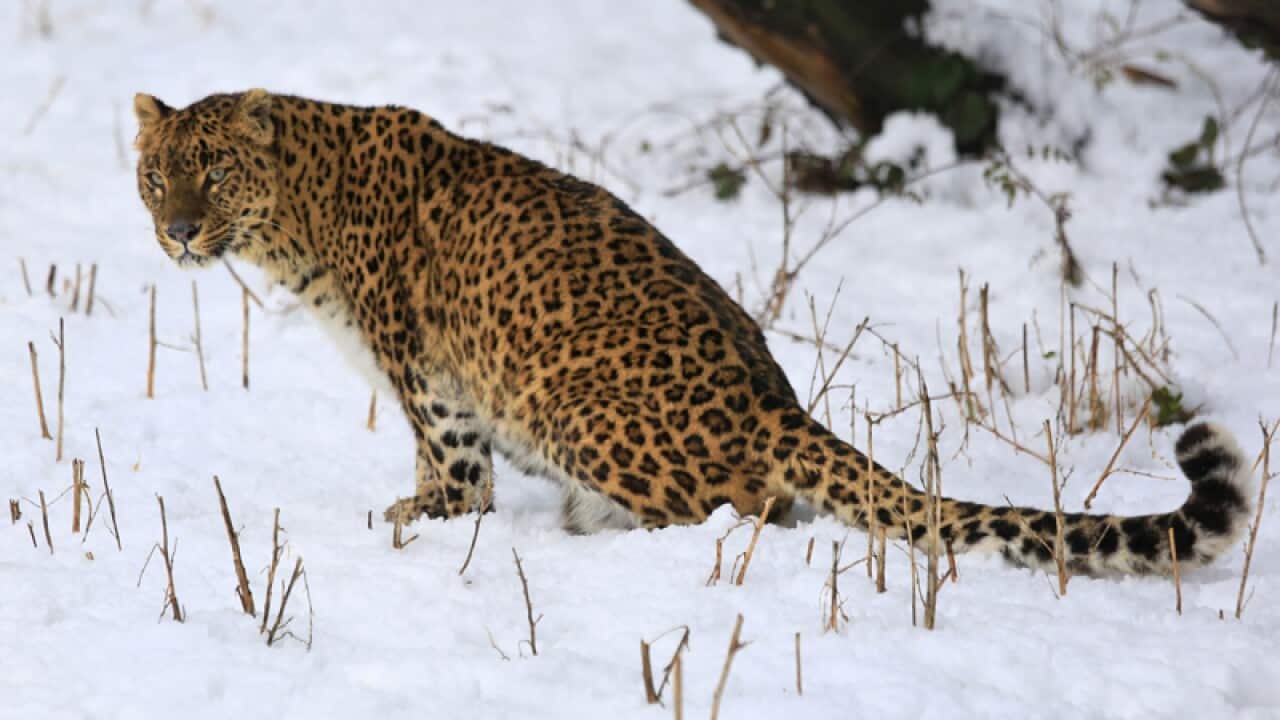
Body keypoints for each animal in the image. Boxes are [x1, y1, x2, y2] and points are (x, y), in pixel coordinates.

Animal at [132, 89, 1254, 578]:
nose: (179, 231)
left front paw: (421, 522)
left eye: (215, 172)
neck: (299, 216)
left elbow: (454, 474)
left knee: (731, 511)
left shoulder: (431, 379)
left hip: (572, 402)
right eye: (155, 175)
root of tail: (775, 402)